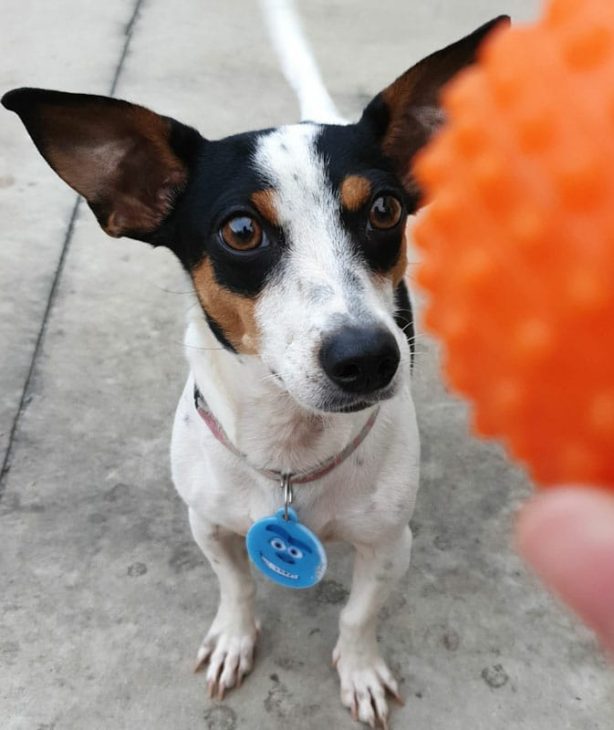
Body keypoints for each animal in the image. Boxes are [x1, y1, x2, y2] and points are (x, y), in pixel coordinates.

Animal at [1, 12, 510, 728]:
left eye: (385, 210)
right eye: (241, 230)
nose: (368, 358)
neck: (291, 451)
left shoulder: (388, 546)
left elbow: (357, 616)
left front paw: (360, 670)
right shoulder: (209, 525)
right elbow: (236, 587)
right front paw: (234, 639)